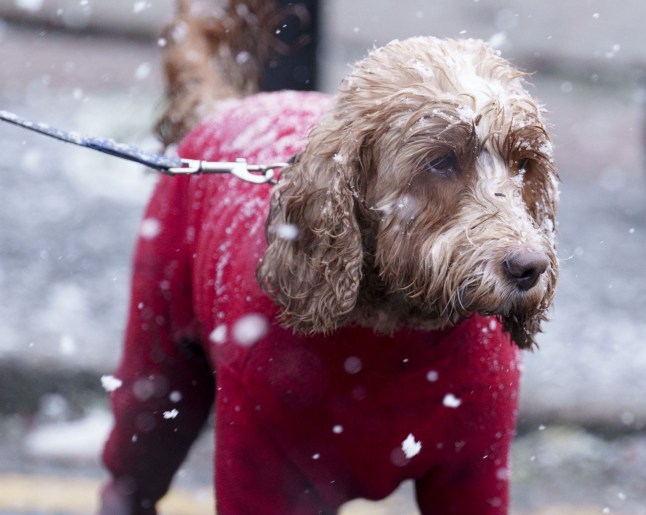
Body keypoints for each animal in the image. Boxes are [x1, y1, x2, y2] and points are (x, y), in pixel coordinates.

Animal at [98, 4, 560, 515]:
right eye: (441, 161)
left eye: (524, 163)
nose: (529, 268)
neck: (395, 331)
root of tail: (223, 107)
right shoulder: (258, 463)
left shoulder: (474, 469)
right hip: (158, 370)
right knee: (130, 470)